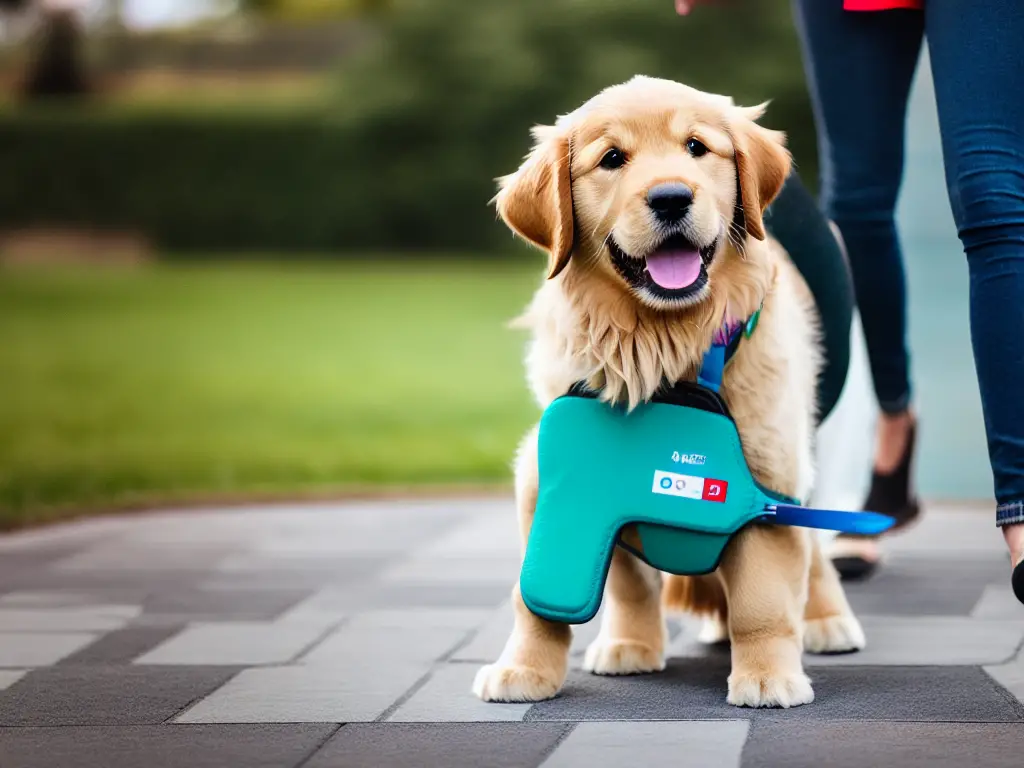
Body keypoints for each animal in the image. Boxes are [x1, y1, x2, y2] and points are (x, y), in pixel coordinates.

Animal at [471, 76, 864, 708]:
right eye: (611, 158)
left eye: (697, 148)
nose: (672, 197)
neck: (661, 346)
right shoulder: (546, 478)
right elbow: (588, 588)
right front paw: (543, 664)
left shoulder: (766, 480)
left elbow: (763, 598)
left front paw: (767, 677)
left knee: (815, 551)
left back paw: (828, 621)